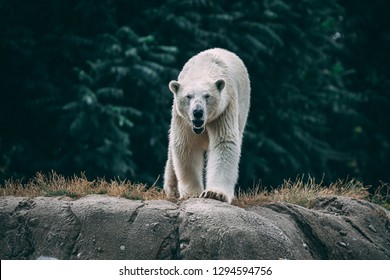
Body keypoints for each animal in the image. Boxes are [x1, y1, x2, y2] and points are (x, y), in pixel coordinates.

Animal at [162, 48, 250, 203]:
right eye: (188, 96)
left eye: (207, 96)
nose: (197, 112)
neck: (204, 68)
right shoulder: (183, 119)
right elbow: (187, 145)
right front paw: (192, 193)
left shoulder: (224, 110)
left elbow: (224, 143)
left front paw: (215, 193)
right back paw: (172, 189)